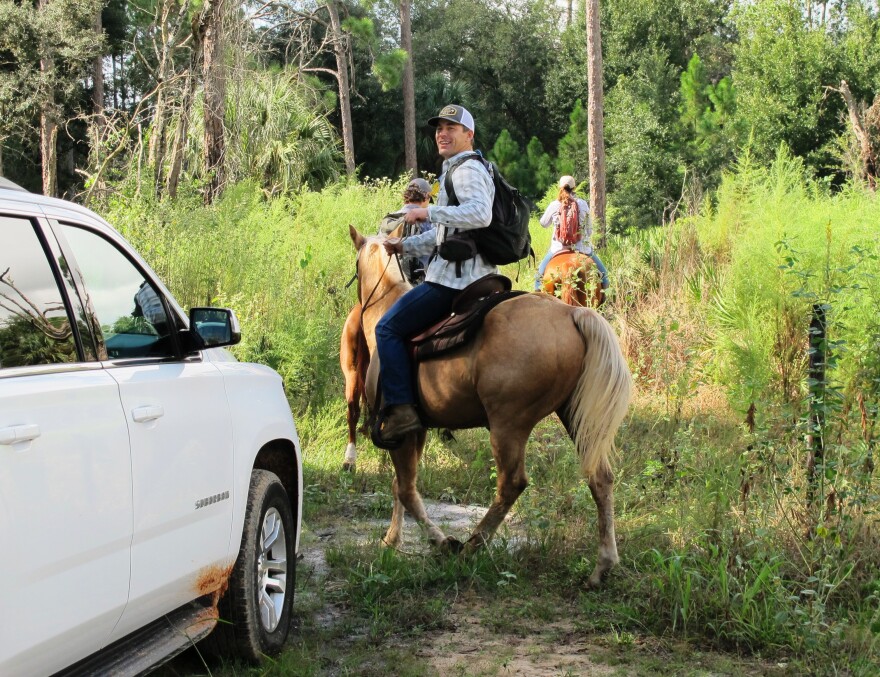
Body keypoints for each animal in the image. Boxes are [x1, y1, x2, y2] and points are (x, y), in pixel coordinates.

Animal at [350, 227, 632, 588]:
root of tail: (572, 313)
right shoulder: (418, 429)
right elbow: (401, 487)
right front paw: (392, 539)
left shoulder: (399, 432)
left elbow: (407, 490)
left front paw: (440, 541)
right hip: (576, 417)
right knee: (600, 478)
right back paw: (602, 566)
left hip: (507, 425)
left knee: (511, 483)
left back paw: (471, 545)